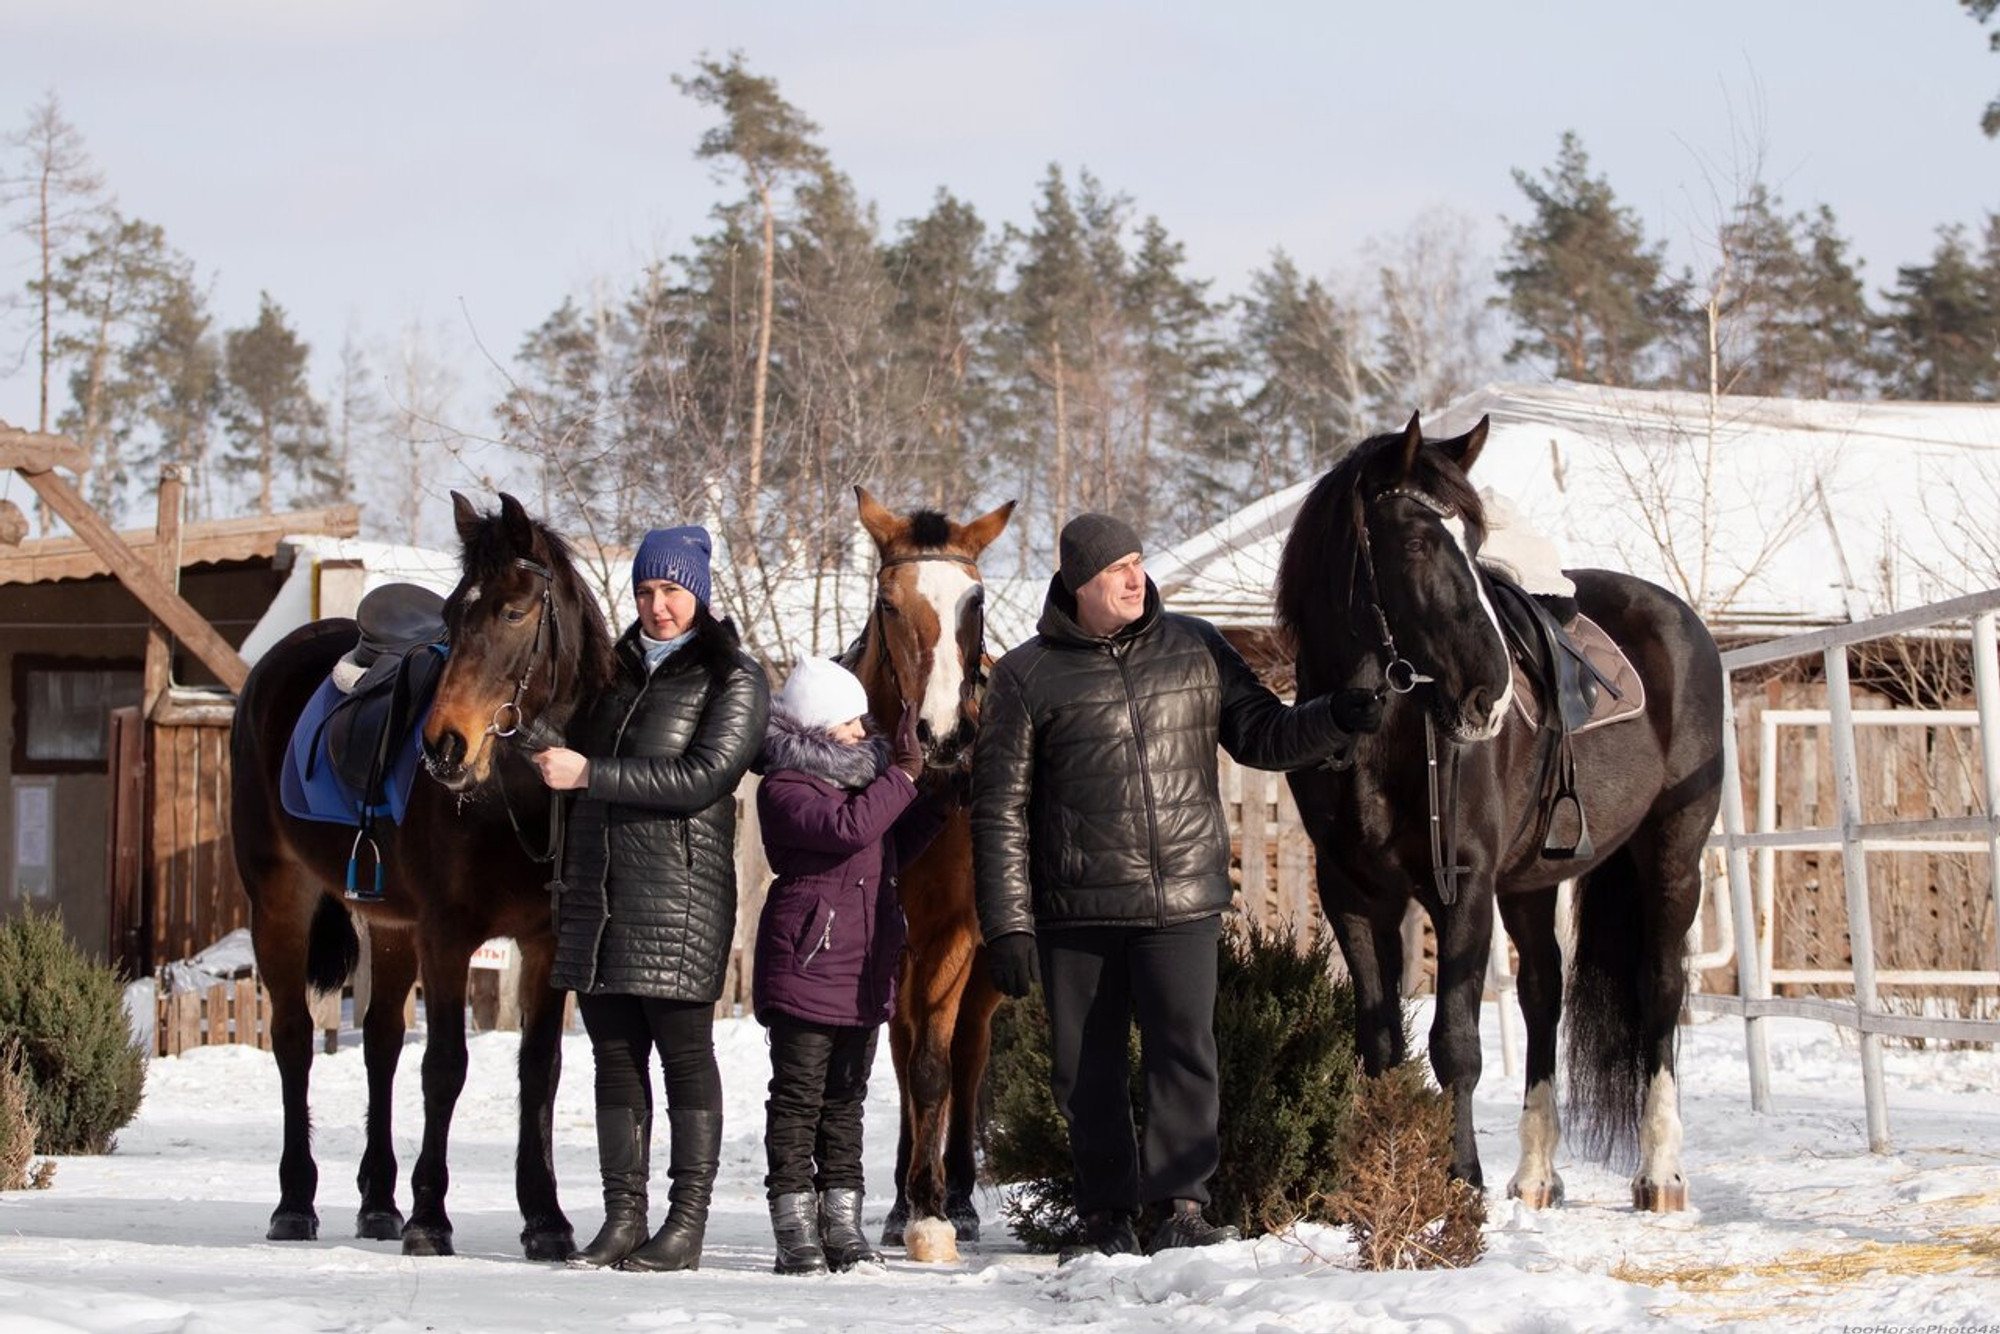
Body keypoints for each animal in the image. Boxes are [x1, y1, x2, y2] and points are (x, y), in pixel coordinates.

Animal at [231, 490, 612, 1256]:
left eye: (514, 612)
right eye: (452, 618)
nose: (445, 746)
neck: (517, 795)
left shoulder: (546, 943)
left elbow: (540, 1070)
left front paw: (546, 1219)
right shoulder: (447, 936)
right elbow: (444, 1066)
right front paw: (432, 1217)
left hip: (389, 923)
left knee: (379, 1041)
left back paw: (379, 1200)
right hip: (279, 898)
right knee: (293, 1038)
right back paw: (295, 1201)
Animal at [1280, 414, 1720, 1208]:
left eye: (1476, 542)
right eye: (1417, 542)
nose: (1491, 694)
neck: (1381, 732)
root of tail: (1680, 618)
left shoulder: (1465, 885)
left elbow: (1455, 1043)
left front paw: (1460, 1181)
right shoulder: (1354, 894)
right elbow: (1379, 1041)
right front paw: (1379, 1178)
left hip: (1674, 853)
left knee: (1660, 989)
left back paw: (1660, 1173)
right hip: (1532, 883)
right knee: (1544, 993)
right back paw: (1537, 1174)